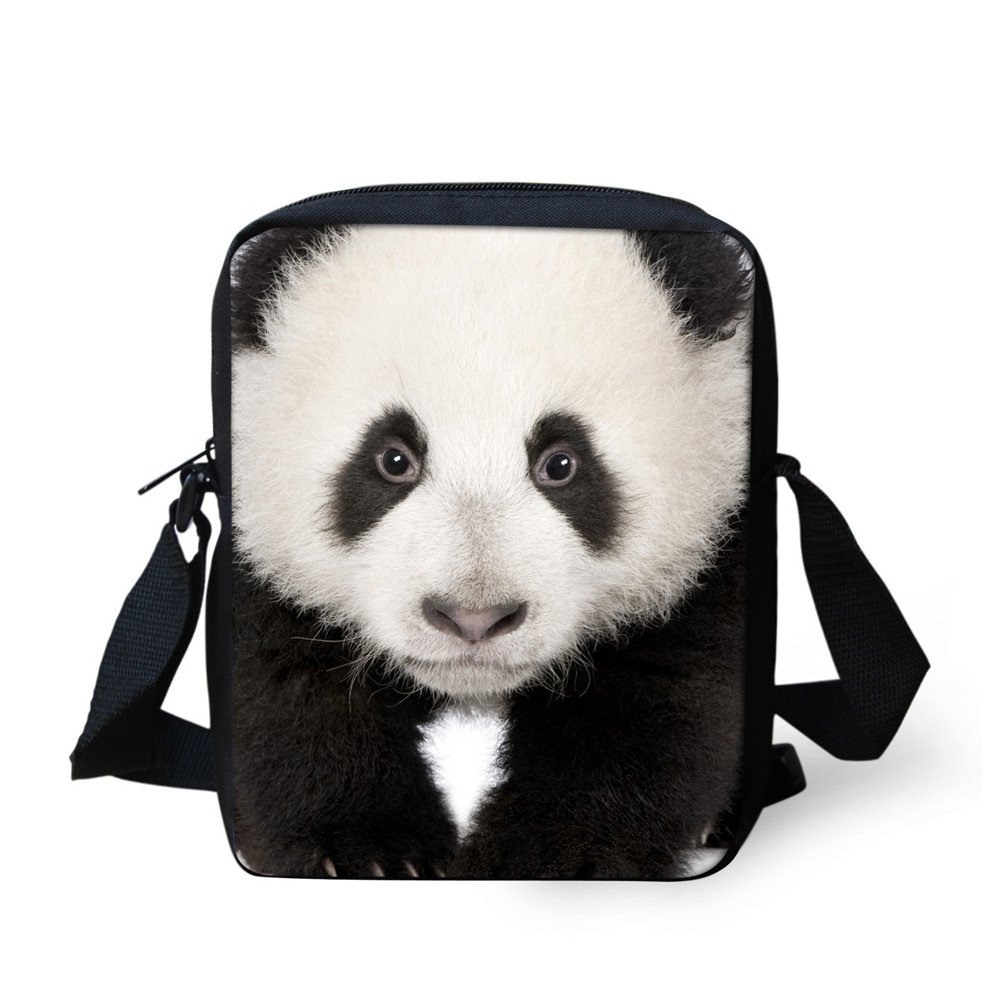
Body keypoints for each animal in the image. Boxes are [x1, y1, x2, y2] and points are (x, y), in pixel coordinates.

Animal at [230, 223, 752, 879]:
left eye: (561, 463)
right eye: (393, 458)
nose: (473, 618)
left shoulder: (711, 541)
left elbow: (654, 701)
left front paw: (543, 856)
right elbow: (290, 681)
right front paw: (366, 848)